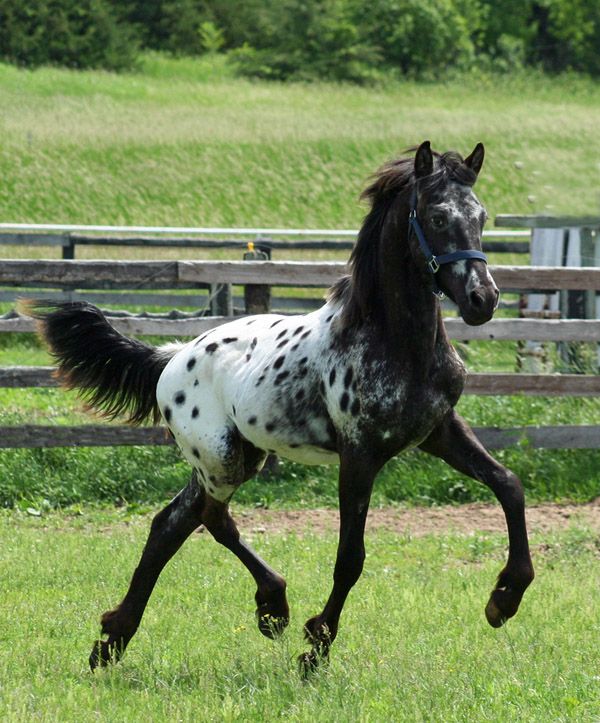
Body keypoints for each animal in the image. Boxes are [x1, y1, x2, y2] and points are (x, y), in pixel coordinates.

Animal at [24, 141, 536, 672]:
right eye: (436, 217)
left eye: (480, 216)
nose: (483, 299)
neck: (395, 342)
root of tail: (172, 356)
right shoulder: (360, 454)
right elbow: (350, 557)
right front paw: (316, 646)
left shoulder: (438, 431)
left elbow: (510, 486)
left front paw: (504, 599)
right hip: (222, 459)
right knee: (211, 519)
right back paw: (271, 606)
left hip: (235, 456)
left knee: (172, 522)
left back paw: (115, 639)